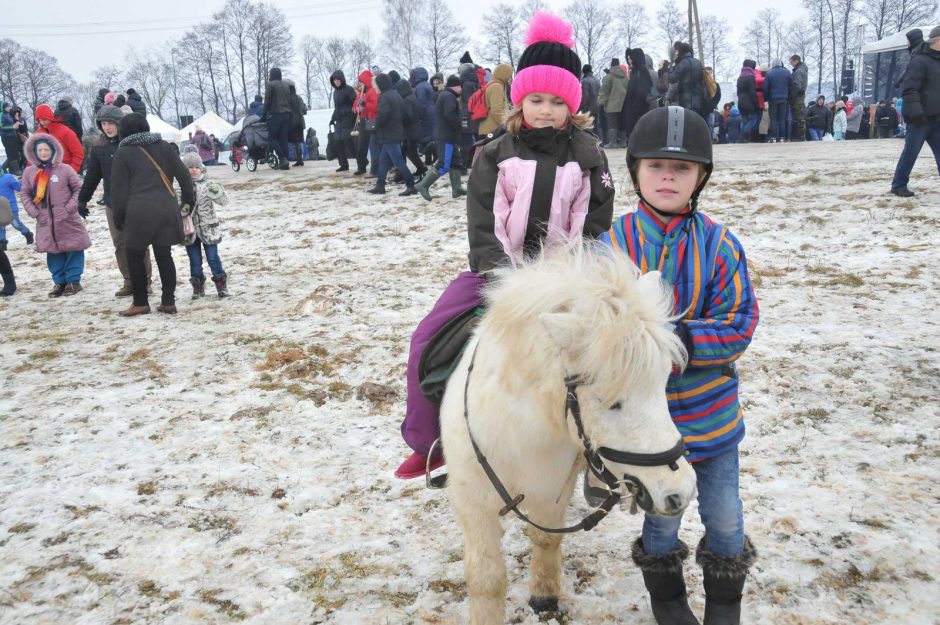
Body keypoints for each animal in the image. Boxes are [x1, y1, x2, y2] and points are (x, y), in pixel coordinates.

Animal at [440, 245, 696, 624]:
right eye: (611, 402)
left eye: (662, 384)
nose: (680, 492)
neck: (518, 433)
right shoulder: (473, 502)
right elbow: (487, 579)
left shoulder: (551, 491)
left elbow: (546, 540)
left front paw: (544, 596)